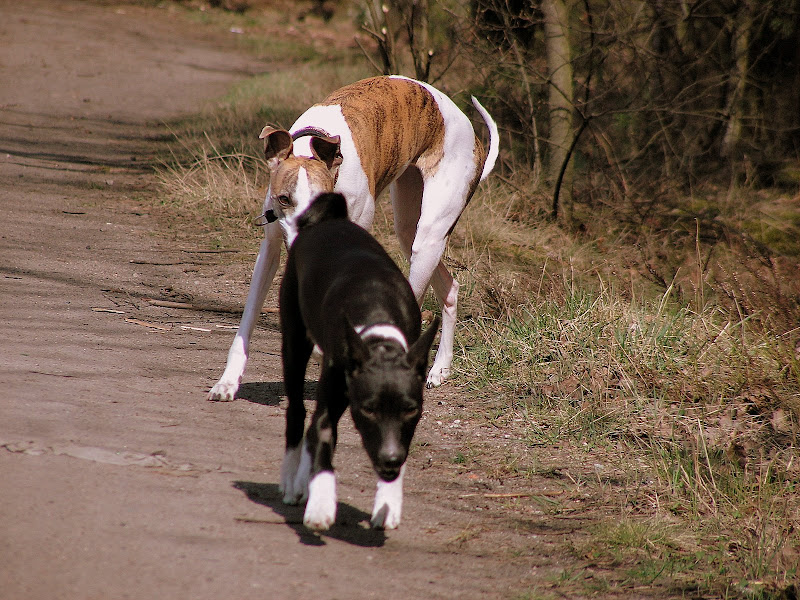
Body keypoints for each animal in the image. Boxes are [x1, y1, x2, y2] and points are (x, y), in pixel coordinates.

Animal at [208, 75, 498, 401]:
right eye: (284, 198)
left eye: (321, 199)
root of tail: (468, 129)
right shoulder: (270, 249)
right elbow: (247, 319)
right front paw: (227, 382)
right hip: (409, 228)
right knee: (449, 288)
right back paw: (440, 369)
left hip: (429, 238)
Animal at [278, 192, 439, 530]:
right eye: (368, 409)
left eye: (410, 410)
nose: (390, 458)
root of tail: (332, 220)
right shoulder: (331, 401)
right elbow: (322, 440)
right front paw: (321, 506)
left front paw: (389, 502)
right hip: (294, 342)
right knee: (298, 412)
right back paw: (291, 479)